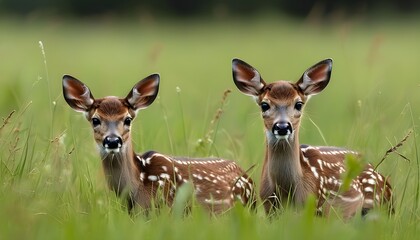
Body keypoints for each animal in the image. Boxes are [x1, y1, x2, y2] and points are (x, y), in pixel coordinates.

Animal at [233, 58, 394, 219]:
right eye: (264, 105)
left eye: (298, 104)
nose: (282, 126)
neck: (286, 191)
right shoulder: (269, 208)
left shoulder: (316, 206)